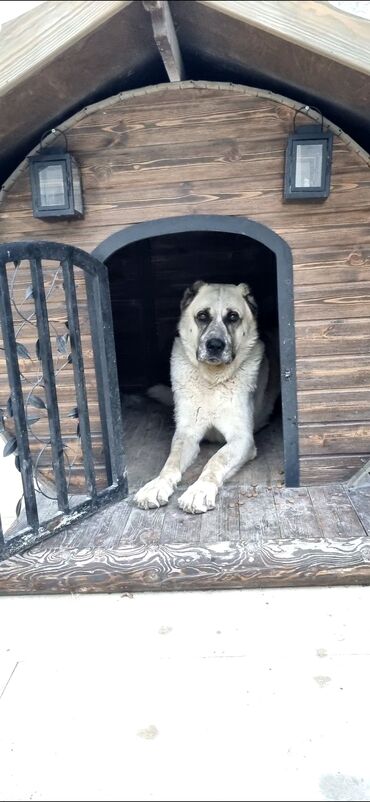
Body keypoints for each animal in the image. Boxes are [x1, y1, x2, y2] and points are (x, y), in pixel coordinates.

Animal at [134, 282, 280, 512]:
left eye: (233, 317)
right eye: (202, 316)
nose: (215, 345)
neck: (212, 381)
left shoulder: (242, 439)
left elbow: (215, 460)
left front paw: (199, 490)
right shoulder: (186, 433)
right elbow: (171, 462)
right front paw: (157, 485)